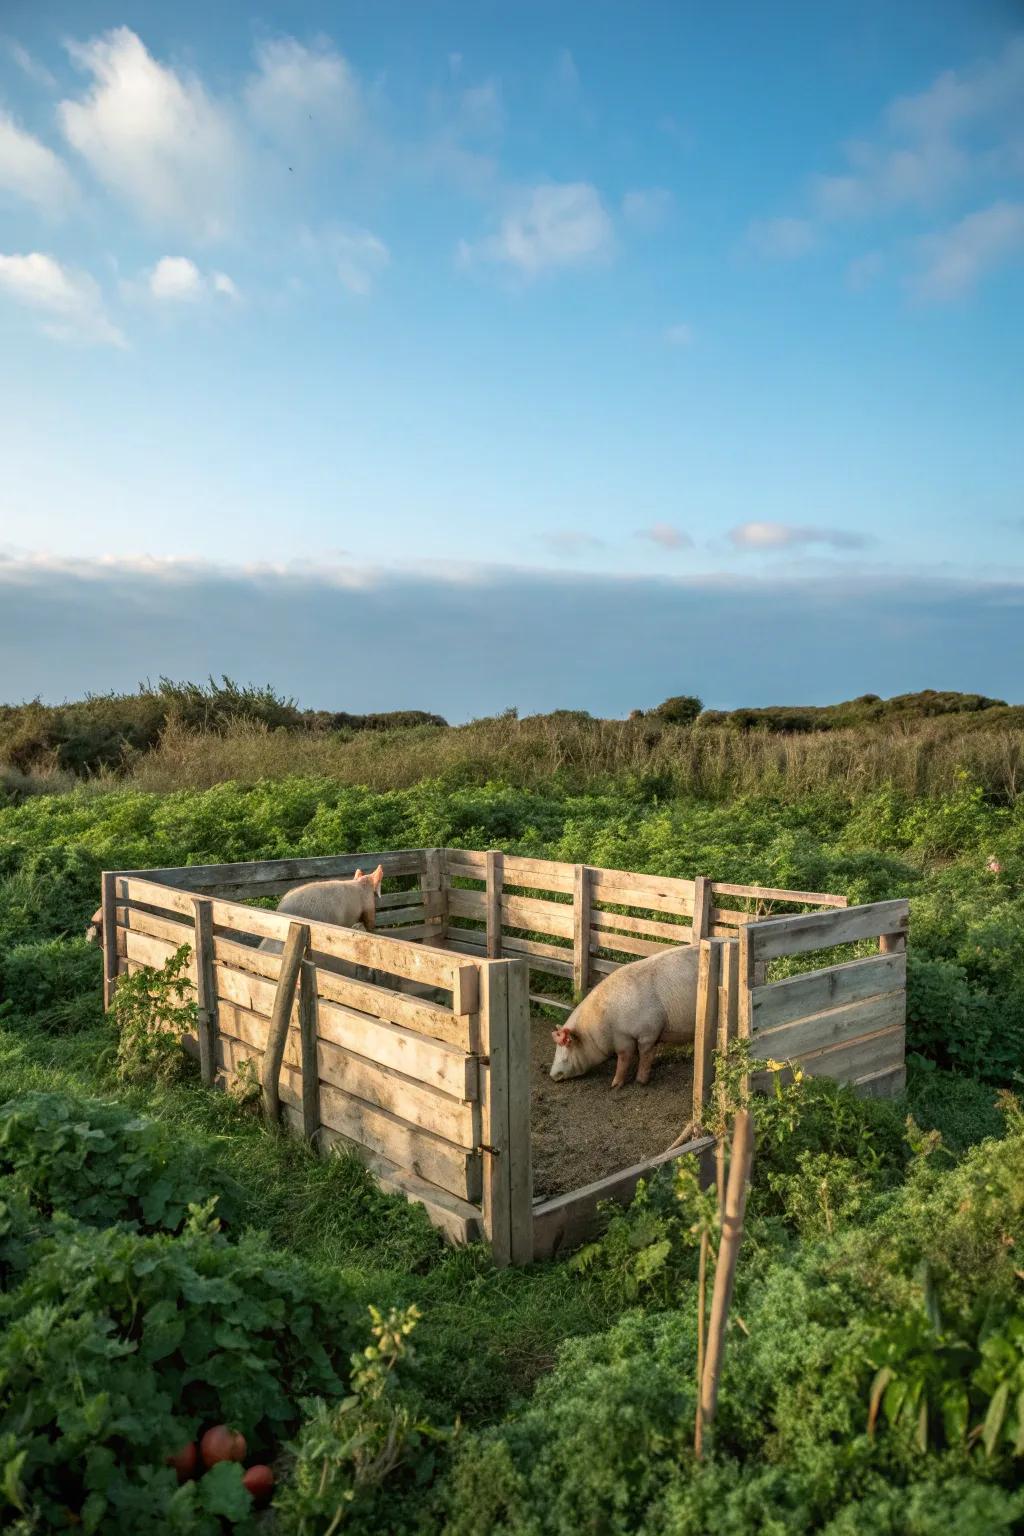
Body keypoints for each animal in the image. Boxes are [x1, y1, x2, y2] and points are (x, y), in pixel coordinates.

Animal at [549, 943, 700, 1089]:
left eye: (568, 1048)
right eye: (556, 1050)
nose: (552, 1075)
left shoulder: (644, 1033)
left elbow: (629, 1056)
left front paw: (621, 1084)